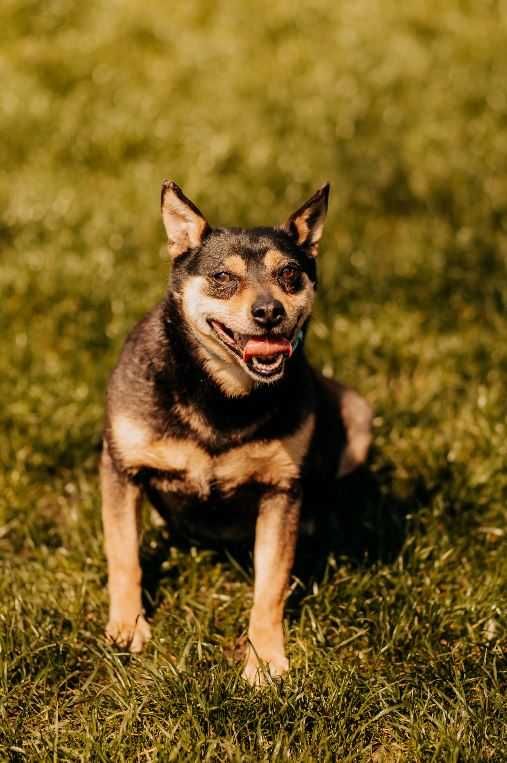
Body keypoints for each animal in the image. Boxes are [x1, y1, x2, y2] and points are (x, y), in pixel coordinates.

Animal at [101, 181, 374, 688]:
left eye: (290, 274)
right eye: (222, 277)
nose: (268, 311)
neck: (221, 393)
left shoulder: (281, 490)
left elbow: (270, 586)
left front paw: (264, 659)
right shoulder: (121, 468)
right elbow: (123, 554)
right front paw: (127, 627)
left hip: (359, 415)